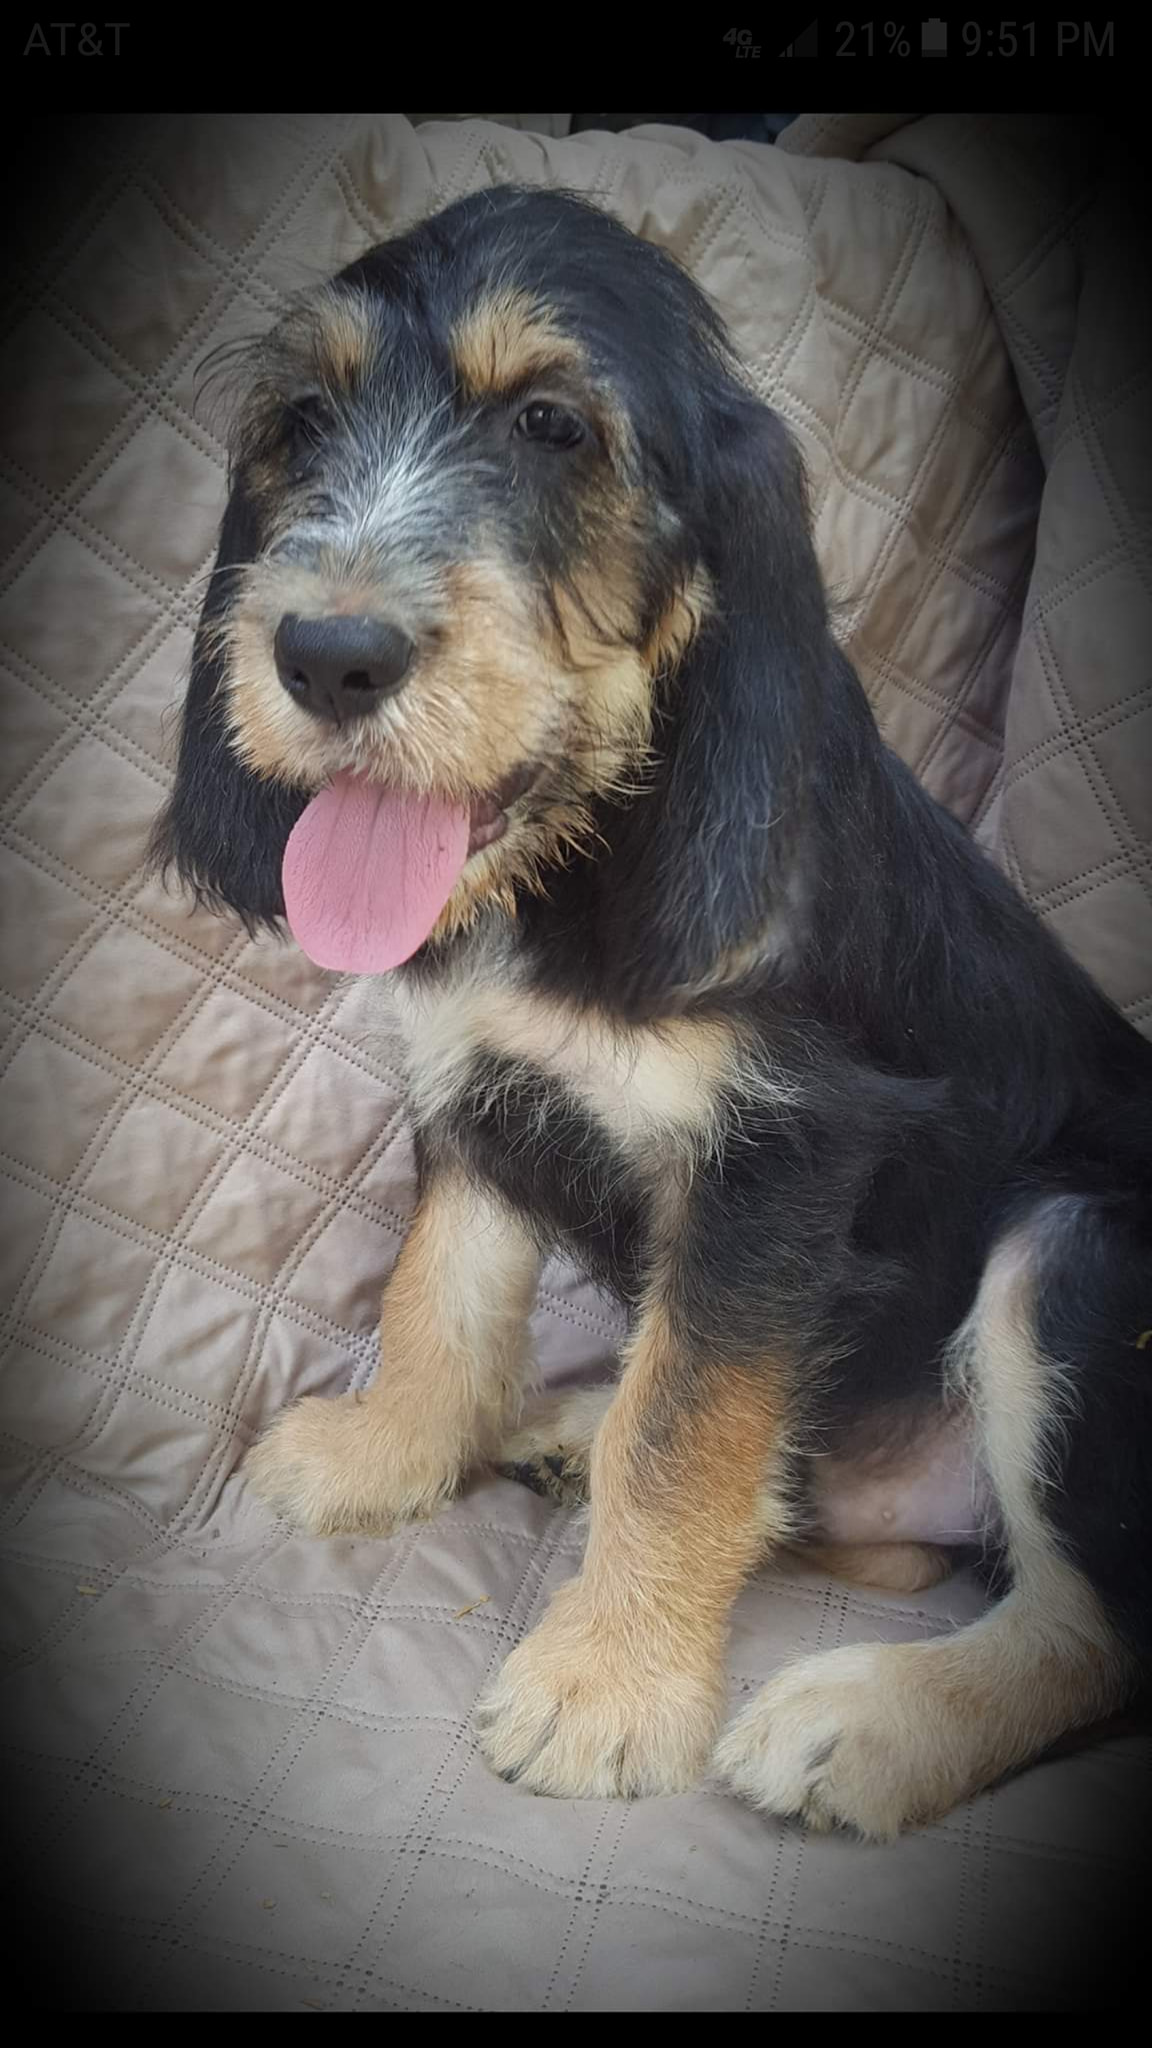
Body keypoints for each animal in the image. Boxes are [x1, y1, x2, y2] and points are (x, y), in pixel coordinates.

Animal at [152, 184, 1147, 1835]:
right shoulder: (476, 1096)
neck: (576, 868)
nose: (326, 657)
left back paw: (869, 1720)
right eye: (301, 422)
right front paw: (384, 1455)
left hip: (1076, 1254)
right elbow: (438, 1301)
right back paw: (571, 1437)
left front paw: (608, 1688)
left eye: (554, 427)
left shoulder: (779, 1160)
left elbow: (685, 1430)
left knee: (1093, 1622)